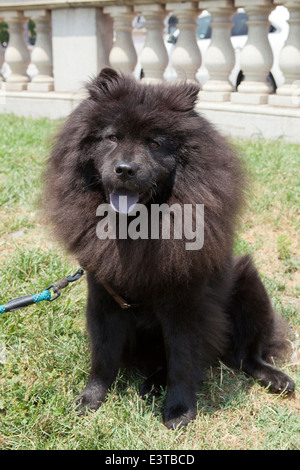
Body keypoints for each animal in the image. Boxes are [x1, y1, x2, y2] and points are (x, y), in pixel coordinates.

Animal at [45, 68, 296, 428]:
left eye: (154, 143)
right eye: (112, 138)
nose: (125, 169)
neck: (137, 228)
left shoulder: (184, 305)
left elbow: (182, 360)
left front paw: (179, 411)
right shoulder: (104, 297)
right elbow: (103, 356)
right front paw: (90, 399)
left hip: (249, 283)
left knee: (245, 354)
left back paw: (276, 378)